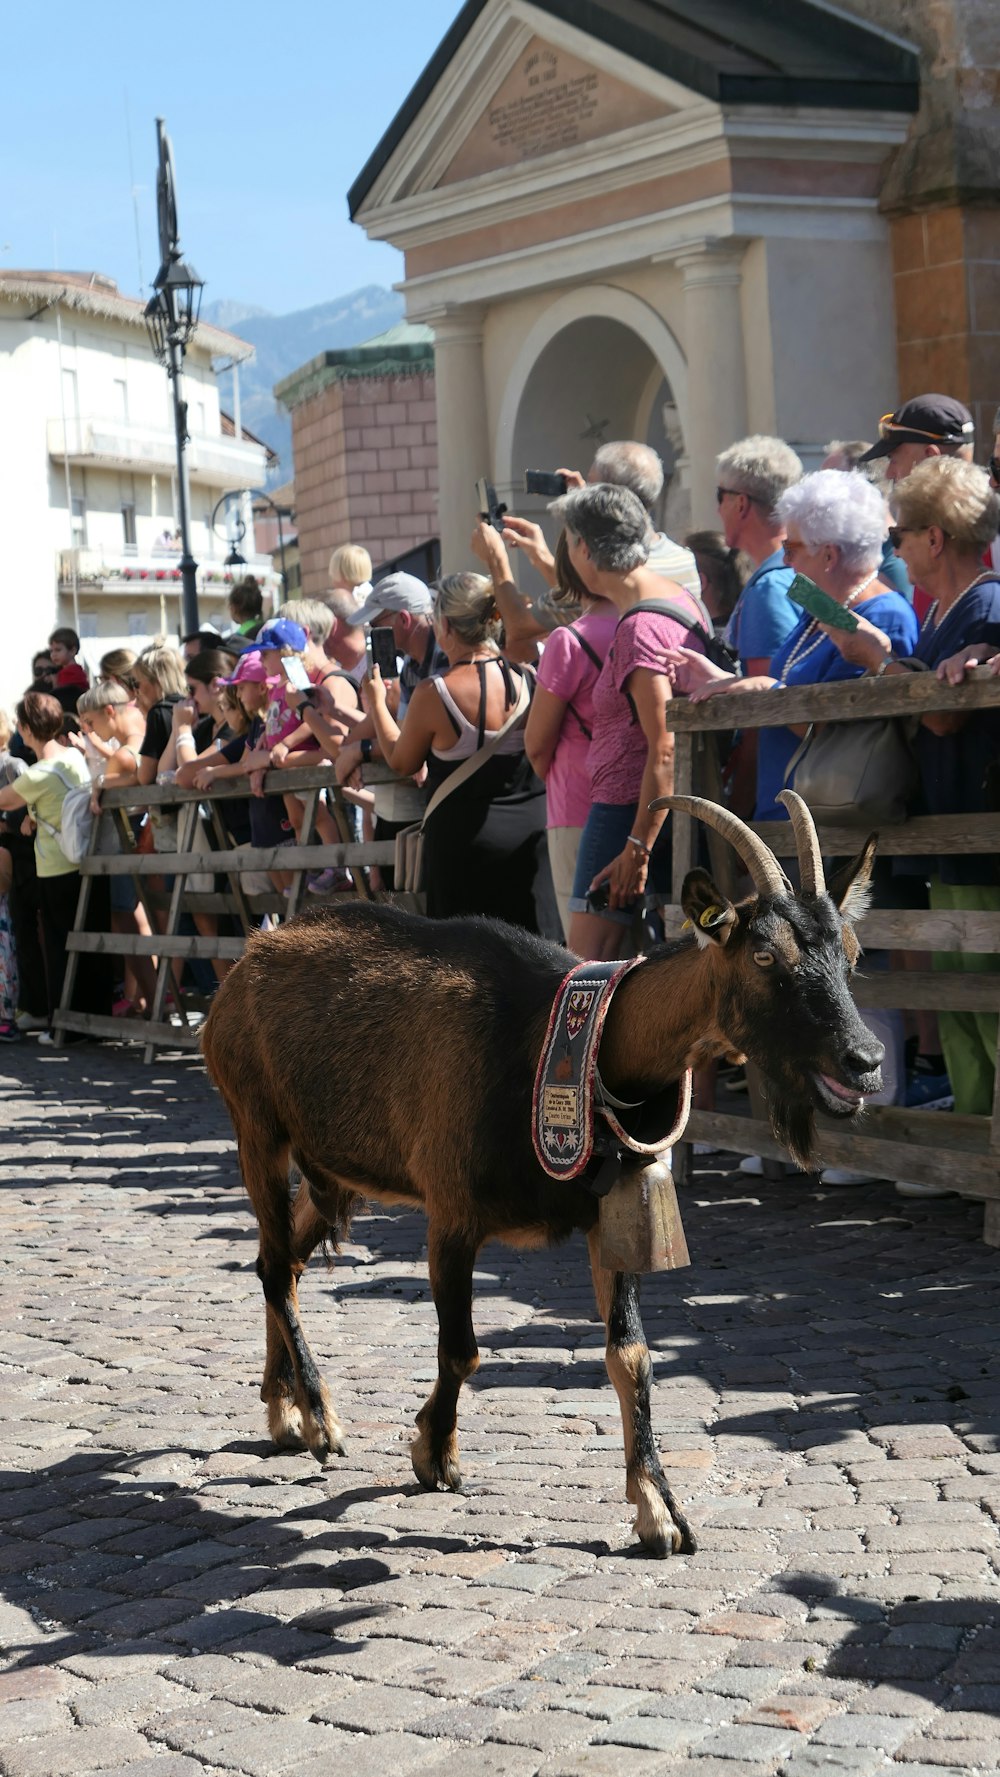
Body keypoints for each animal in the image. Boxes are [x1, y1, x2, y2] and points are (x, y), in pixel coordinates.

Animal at [201, 796, 884, 1556]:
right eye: (765, 956)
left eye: (851, 954)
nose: (864, 1059)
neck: (580, 1043)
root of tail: (248, 955)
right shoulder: (451, 1214)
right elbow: (463, 1351)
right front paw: (434, 1453)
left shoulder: (610, 1215)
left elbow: (632, 1356)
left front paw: (658, 1508)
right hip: (256, 1124)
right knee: (271, 1261)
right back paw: (319, 1416)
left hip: (334, 1167)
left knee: (281, 1261)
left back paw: (284, 1409)